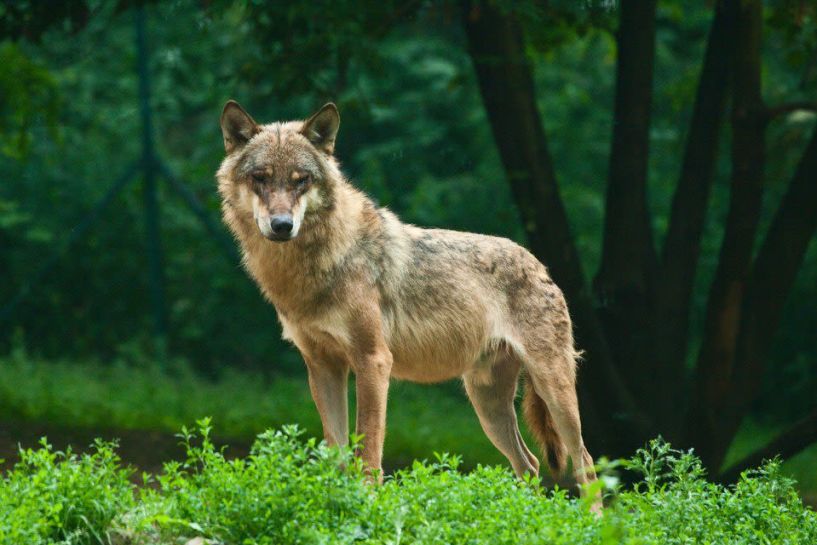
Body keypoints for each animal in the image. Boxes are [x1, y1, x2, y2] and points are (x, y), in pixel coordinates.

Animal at [217, 100, 596, 490]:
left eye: (300, 180)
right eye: (260, 177)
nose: (282, 226)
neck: (318, 264)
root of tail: (538, 264)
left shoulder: (373, 361)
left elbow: (367, 451)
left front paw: (367, 500)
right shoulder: (322, 367)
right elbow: (337, 454)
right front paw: (339, 499)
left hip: (553, 389)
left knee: (584, 460)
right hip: (487, 404)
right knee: (530, 464)